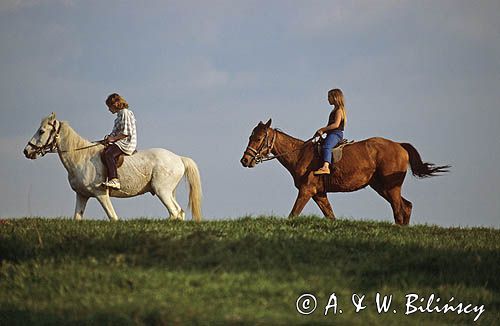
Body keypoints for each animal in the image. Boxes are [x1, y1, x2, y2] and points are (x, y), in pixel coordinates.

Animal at [23, 112, 203, 222]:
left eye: (41, 131)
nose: (26, 151)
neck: (81, 158)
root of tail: (179, 158)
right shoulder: (82, 195)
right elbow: (77, 218)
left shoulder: (101, 194)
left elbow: (113, 218)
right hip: (167, 191)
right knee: (179, 212)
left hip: (162, 191)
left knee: (174, 212)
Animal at [240, 119, 452, 224]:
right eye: (250, 136)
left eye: (258, 138)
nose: (245, 160)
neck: (300, 155)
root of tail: (399, 145)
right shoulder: (319, 194)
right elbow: (331, 216)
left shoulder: (306, 191)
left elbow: (293, 214)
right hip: (382, 187)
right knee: (405, 207)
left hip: (391, 187)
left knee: (400, 210)